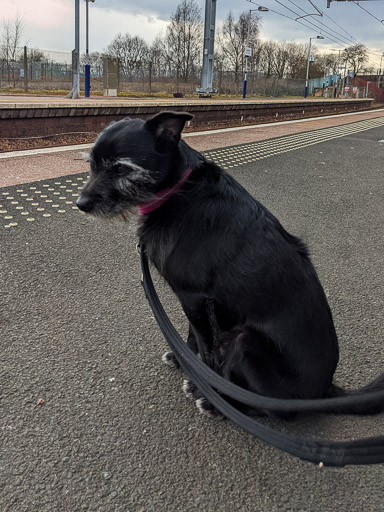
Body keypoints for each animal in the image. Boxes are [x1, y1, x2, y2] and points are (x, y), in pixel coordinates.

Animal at [77, 112, 384, 420]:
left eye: (120, 168)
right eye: (92, 164)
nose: (81, 204)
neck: (180, 190)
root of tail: (325, 390)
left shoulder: (194, 298)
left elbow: (206, 349)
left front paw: (201, 381)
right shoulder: (197, 302)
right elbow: (192, 336)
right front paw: (183, 359)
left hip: (245, 342)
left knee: (267, 408)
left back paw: (218, 404)